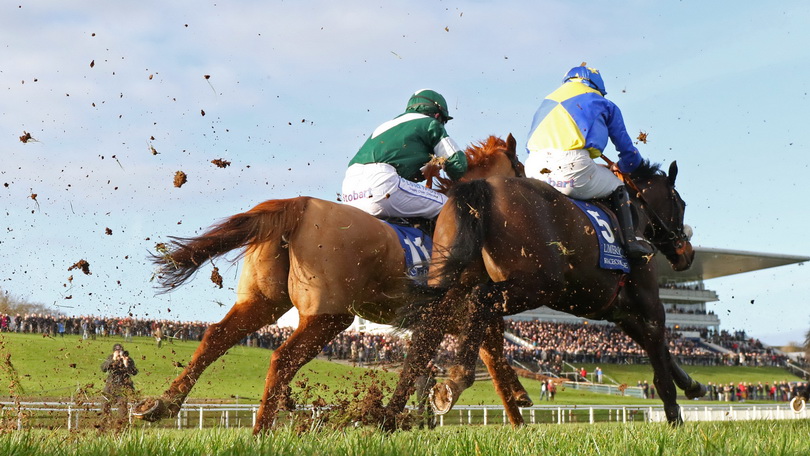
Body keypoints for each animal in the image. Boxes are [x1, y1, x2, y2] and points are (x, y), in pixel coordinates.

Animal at [131, 134, 524, 432]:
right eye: (519, 169)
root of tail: (298, 206)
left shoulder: (452, 315)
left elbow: (484, 355)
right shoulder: (462, 310)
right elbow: (477, 357)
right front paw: (515, 410)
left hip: (262, 302)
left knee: (215, 338)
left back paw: (162, 405)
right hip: (330, 315)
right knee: (282, 358)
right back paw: (260, 431)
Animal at [388, 159, 704, 424]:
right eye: (681, 203)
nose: (687, 254)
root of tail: (484, 187)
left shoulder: (617, 310)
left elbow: (661, 349)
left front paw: (693, 384)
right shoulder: (649, 304)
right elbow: (658, 354)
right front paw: (674, 416)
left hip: (453, 276)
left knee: (430, 326)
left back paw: (389, 413)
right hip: (534, 286)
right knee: (481, 300)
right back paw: (456, 379)